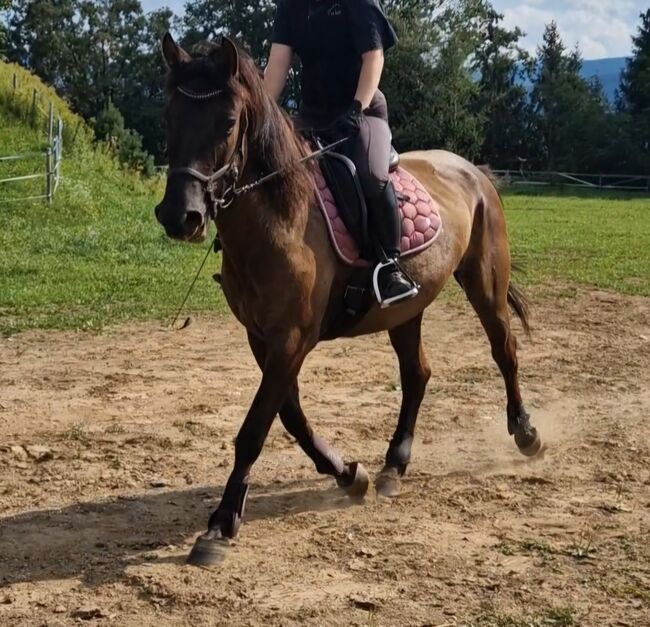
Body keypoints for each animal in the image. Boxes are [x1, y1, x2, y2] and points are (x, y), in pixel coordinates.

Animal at [154, 31, 540, 568]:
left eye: (228, 122)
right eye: (169, 116)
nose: (180, 215)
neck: (283, 217)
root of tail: (473, 171)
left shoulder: (292, 339)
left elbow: (255, 428)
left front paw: (220, 525)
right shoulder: (263, 338)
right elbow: (290, 416)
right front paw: (348, 474)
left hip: (485, 285)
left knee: (504, 351)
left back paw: (525, 433)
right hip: (407, 309)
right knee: (417, 374)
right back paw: (393, 467)